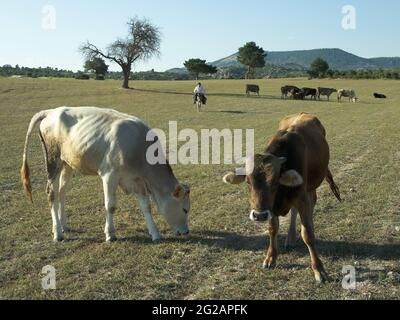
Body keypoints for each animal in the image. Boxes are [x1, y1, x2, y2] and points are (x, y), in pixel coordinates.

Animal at [20, 106, 192, 241]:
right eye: (185, 209)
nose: (186, 232)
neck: (138, 146)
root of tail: (51, 112)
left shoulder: (136, 180)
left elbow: (146, 206)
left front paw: (155, 233)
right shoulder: (109, 175)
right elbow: (110, 205)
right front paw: (110, 234)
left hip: (67, 163)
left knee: (61, 192)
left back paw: (64, 225)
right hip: (52, 161)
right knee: (52, 193)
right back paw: (57, 232)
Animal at [222, 114, 340, 284]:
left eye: (275, 182)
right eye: (248, 182)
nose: (259, 215)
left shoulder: (301, 197)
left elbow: (308, 234)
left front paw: (319, 269)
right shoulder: (271, 207)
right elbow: (273, 229)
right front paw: (271, 258)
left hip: (311, 186)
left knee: (311, 204)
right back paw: (290, 238)